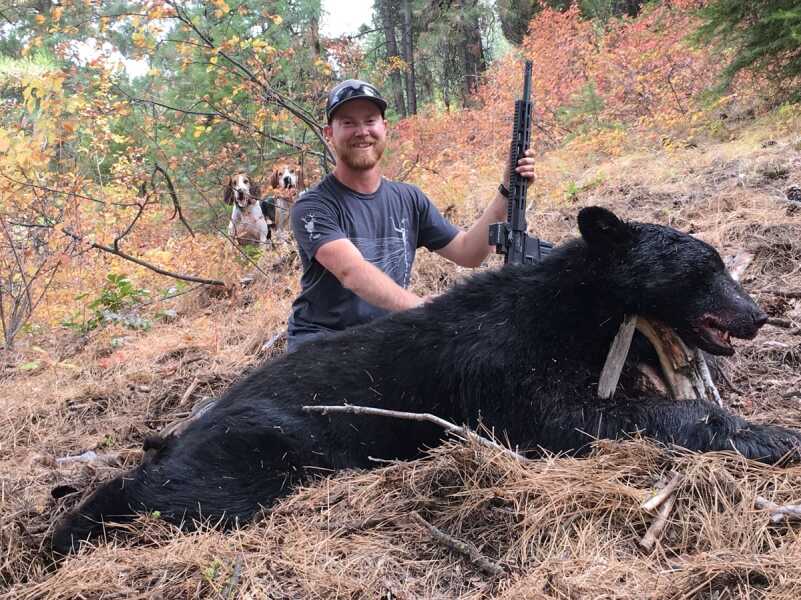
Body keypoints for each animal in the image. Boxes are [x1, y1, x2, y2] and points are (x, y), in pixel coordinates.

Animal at [51, 206, 801, 556]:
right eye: (706, 268)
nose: (759, 314)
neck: (574, 311)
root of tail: (175, 433)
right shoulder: (504, 376)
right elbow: (579, 420)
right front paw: (771, 434)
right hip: (268, 441)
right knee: (182, 492)